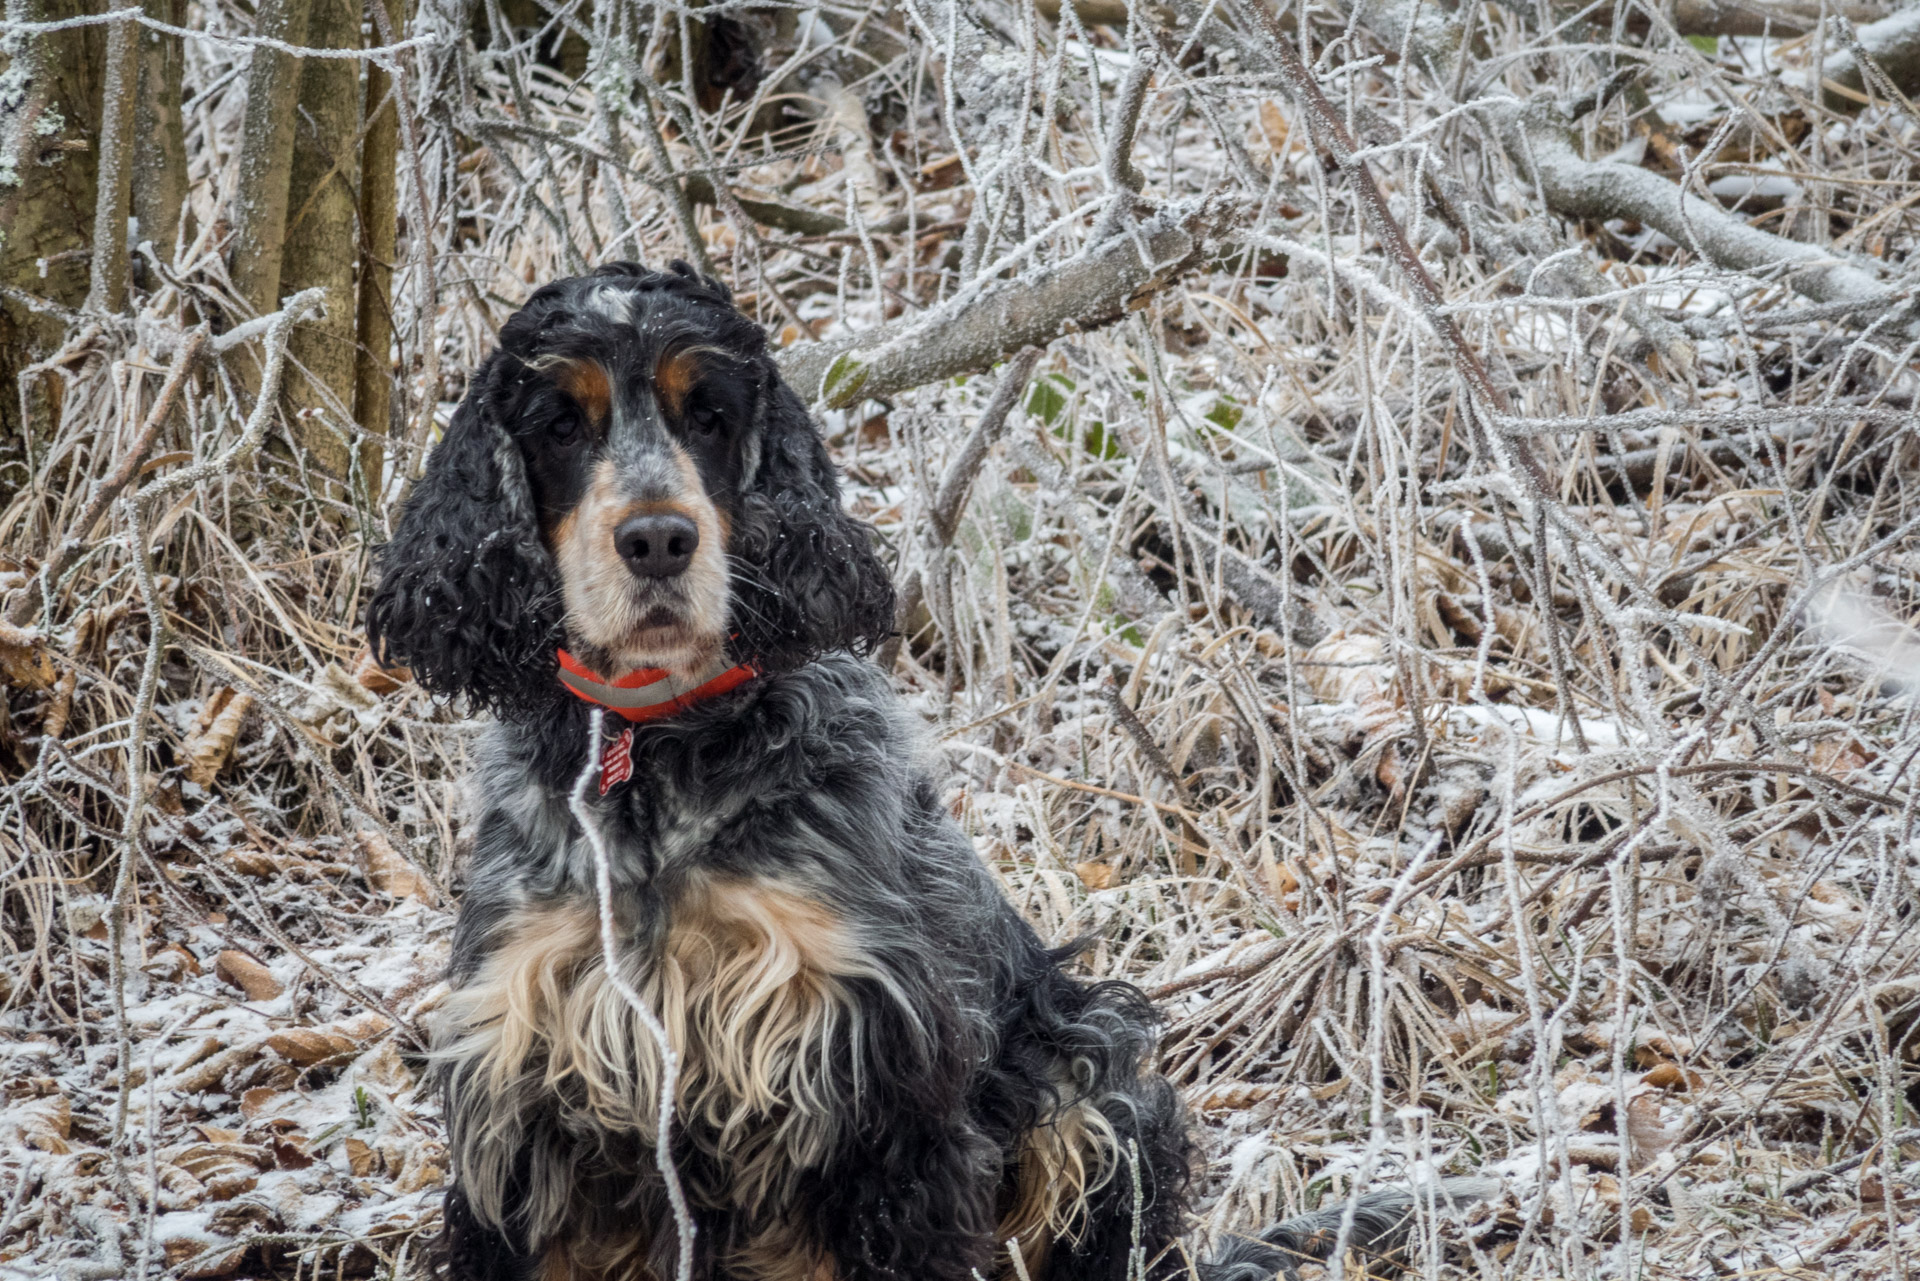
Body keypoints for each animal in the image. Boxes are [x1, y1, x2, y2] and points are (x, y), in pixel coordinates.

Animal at [366, 263, 1489, 1281]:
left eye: (711, 414)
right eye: (560, 424)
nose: (657, 540)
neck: (660, 751)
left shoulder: (879, 1094)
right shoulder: (525, 1110)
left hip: (1090, 1081)